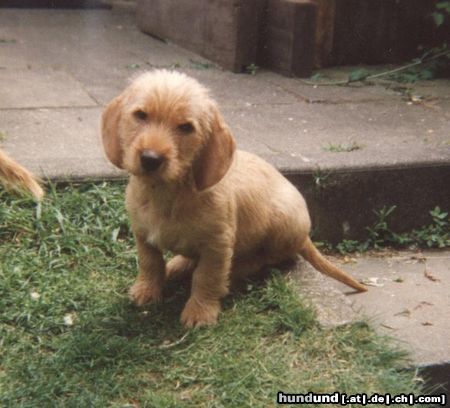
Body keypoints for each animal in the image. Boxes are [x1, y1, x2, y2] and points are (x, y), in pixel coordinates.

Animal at [101, 70, 366, 328]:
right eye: (141, 115)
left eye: (186, 127)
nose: (150, 159)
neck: (167, 192)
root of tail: (305, 237)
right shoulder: (143, 234)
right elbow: (150, 263)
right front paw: (146, 291)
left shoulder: (217, 245)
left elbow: (206, 277)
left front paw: (200, 312)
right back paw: (178, 264)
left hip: (282, 223)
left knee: (267, 259)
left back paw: (235, 268)